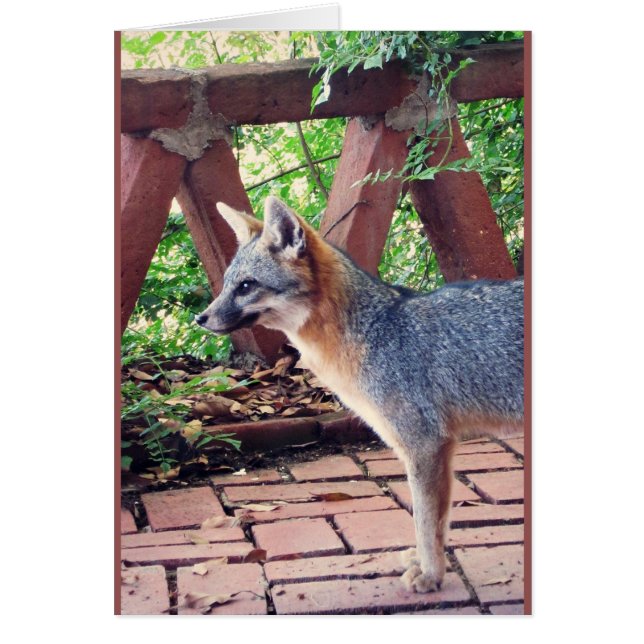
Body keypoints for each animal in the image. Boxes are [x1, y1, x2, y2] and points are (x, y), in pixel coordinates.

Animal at [195, 196, 524, 593]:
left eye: (246, 286)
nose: (200, 318)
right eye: (228, 284)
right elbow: (434, 523)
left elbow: (426, 521)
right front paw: (428, 565)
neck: (374, 328)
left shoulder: (424, 446)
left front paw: (430, 574)